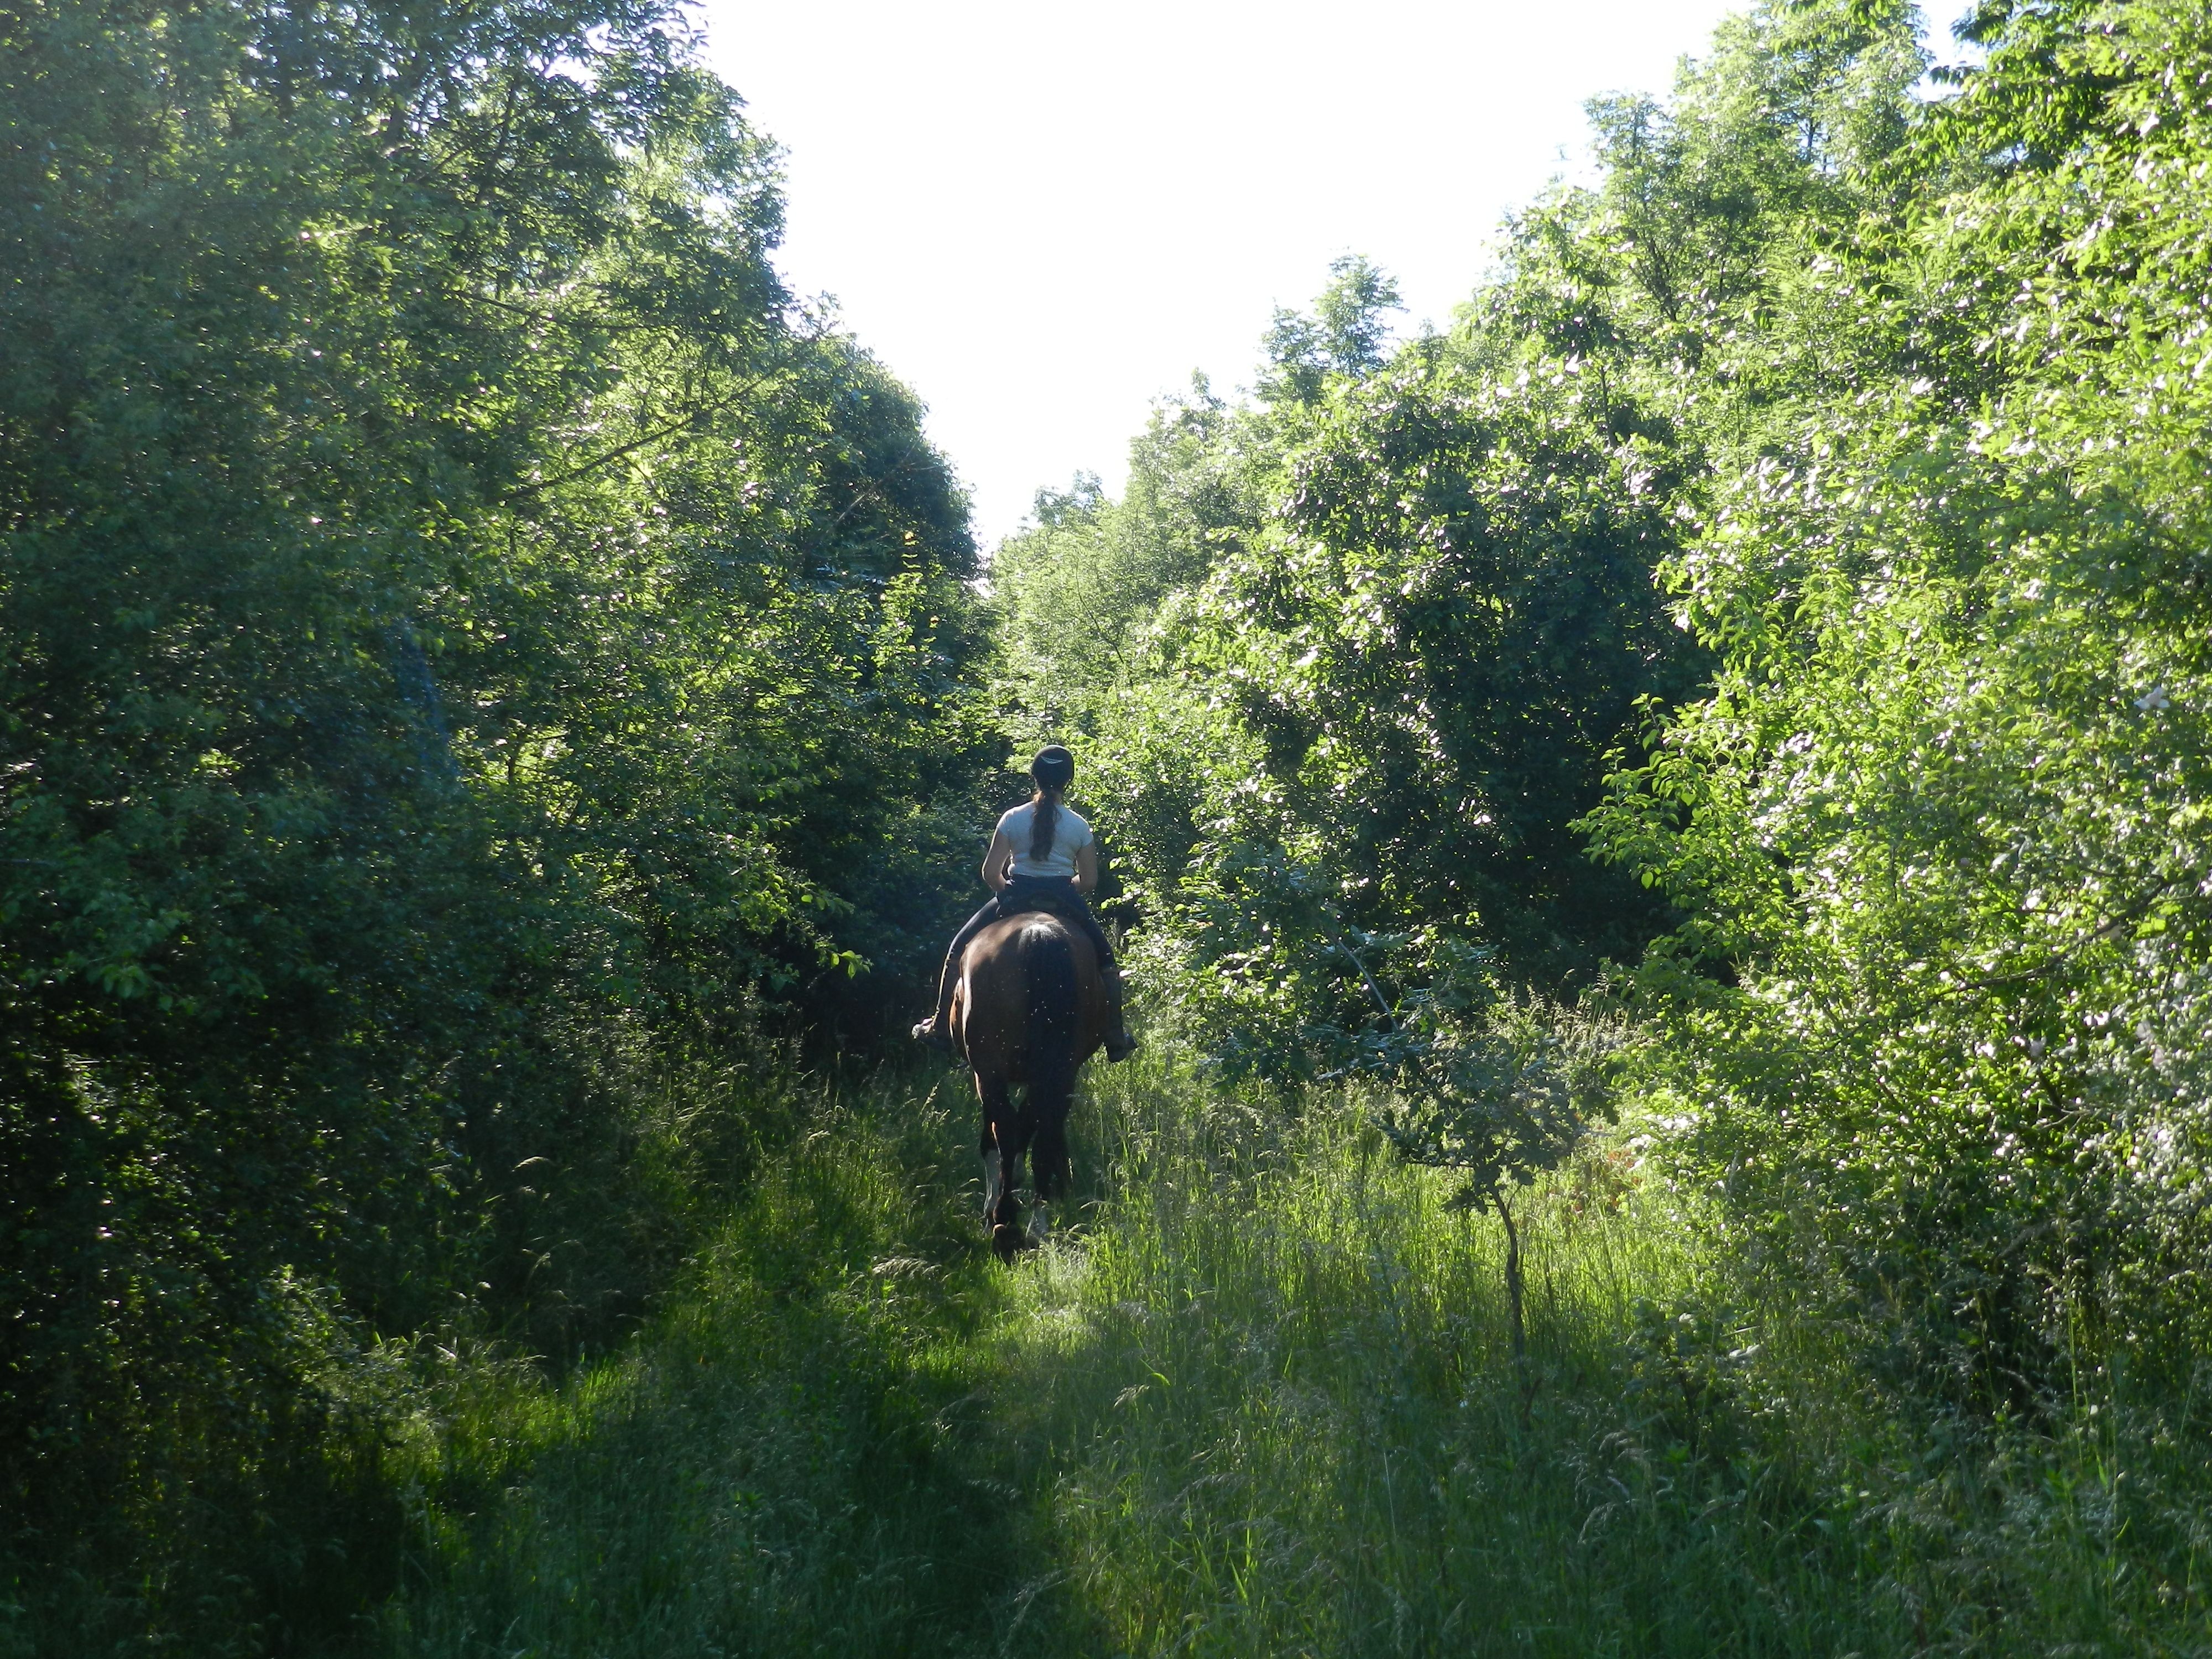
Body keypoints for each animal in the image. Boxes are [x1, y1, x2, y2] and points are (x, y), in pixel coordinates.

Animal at [956, 911, 1115, 1256]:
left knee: (1004, 1129)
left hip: (990, 1072)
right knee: (1043, 1130)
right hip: (1060, 1070)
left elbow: (997, 1137)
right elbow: (1035, 1125)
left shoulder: (984, 1075)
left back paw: (1004, 1220)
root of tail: (1036, 934)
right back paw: (1034, 1224)